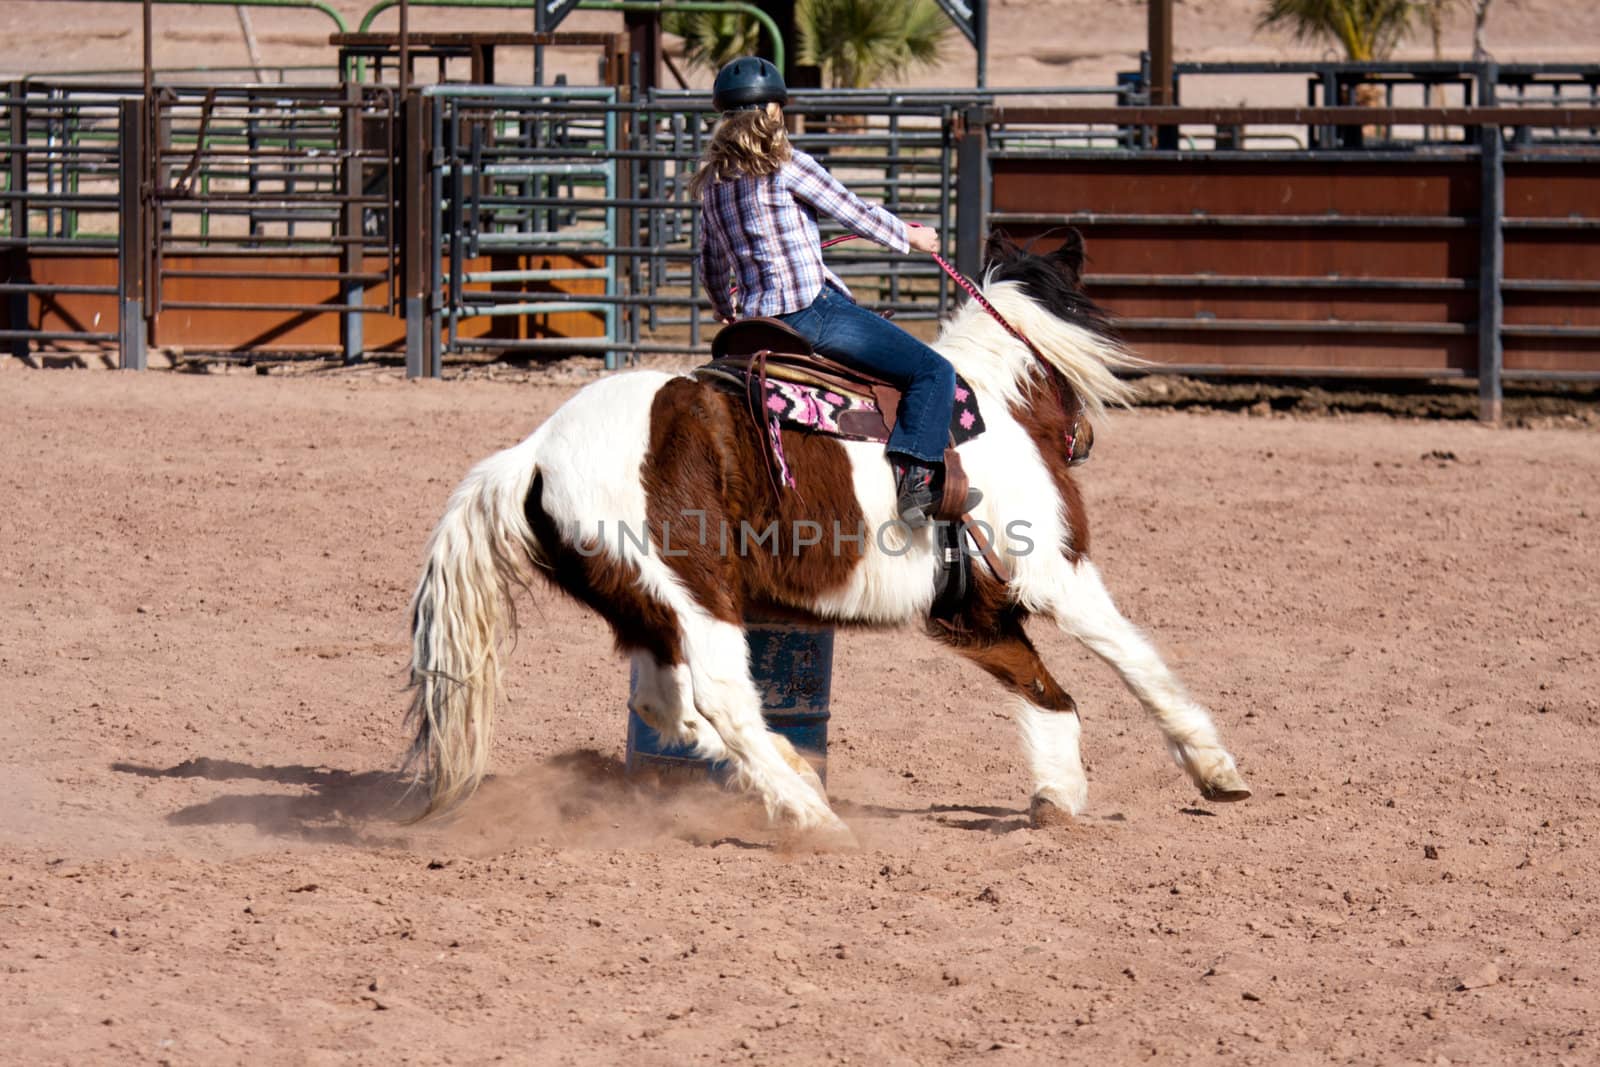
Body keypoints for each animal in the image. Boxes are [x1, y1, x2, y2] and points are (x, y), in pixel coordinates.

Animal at [403, 233, 1248, 831]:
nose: (1084, 441)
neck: (995, 408)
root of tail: (535, 452)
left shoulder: (969, 614)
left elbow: (1049, 693)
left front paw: (1059, 794)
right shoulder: (1059, 573)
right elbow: (1135, 659)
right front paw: (1216, 769)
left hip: (645, 610)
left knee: (666, 706)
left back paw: (790, 772)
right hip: (695, 594)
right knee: (720, 697)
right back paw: (811, 813)